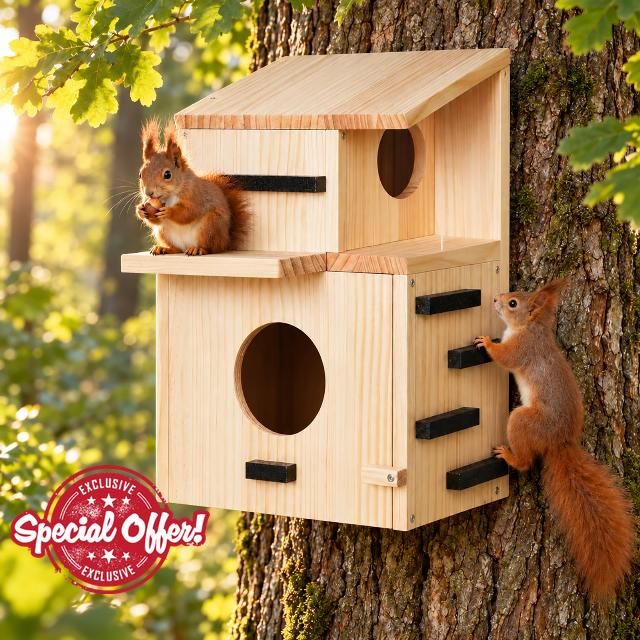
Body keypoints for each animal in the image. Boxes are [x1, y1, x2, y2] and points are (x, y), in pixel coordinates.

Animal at [135, 121, 251, 256]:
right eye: (140, 174)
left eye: (167, 174)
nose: (148, 193)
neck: (170, 196)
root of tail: (225, 241)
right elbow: (155, 220)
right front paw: (140, 210)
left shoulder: (196, 195)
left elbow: (189, 212)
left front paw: (169, 212)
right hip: (163, 232)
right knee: (177, 249)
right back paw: (164, 248)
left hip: (210, 225)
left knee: (211, 247)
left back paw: (198, 249)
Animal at [474, 279, 635, 602]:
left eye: (513, 303)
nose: (495, 299)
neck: (529, 327)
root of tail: (560, 442)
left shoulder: (523, 349)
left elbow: (505, 357)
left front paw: (487, 342)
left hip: (523, 421)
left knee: (526, 462)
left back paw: (510, 456)